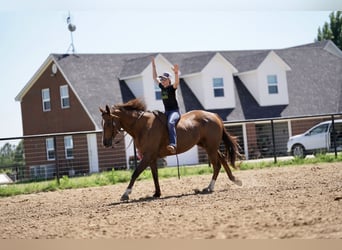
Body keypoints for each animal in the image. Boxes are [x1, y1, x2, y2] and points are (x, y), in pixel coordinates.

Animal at [99, 98, 243, 200]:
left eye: (108, 123)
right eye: (102, 123)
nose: (105, 143)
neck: (142, 126)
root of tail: (214, 115)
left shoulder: (147, 156)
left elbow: (136, 173)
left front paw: (126, 193)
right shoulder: (151, 157)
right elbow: (155, 175)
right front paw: (157, 193)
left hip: (211, 147)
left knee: (217, 165)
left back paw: (209, 187)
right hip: (208, 146)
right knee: (222, 159)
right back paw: (235, 180)